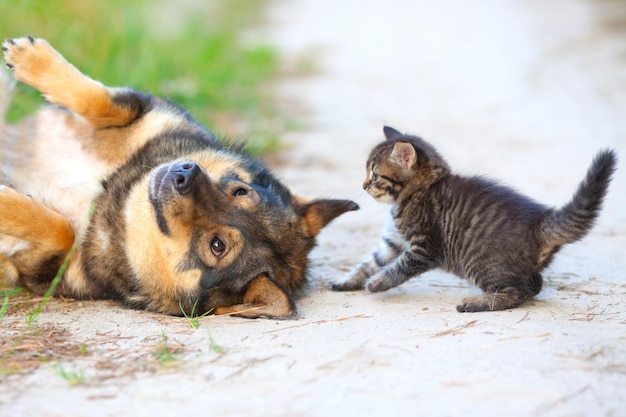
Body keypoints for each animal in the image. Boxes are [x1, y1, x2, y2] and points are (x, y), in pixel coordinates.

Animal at [0, 37, 356, 316]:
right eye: (240, 191)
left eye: (217, 245)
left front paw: (6, 202)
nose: (185, 172)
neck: (112, 189)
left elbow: (61, 230)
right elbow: (102, 101)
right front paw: (35, 61)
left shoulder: (45, 271)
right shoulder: (152, 110)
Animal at [332, 125, 616, 310]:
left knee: (519, 291)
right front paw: (349, 281)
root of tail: (539, 223)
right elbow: (370, 262)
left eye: (375, 175)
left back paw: (477, 303)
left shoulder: (424, 248)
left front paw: (377, 283)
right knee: (534, 284)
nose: (363, 185)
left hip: (480, 265)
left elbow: (397, 267)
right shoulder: (393, 241)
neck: (419, 191)